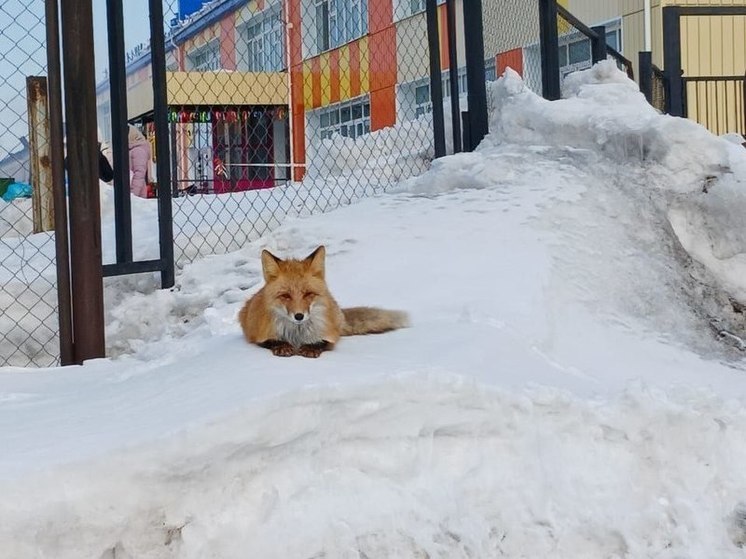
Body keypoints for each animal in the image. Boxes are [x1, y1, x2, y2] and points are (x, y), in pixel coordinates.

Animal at [238, 246, 410, 358]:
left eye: (308, 294)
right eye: (285, 295)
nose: (299, 316)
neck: (297, 335)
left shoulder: (330, 334)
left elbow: (323, 342)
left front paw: (311, 348)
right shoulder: (255, 333)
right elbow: (270, 341)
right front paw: (282, 346)